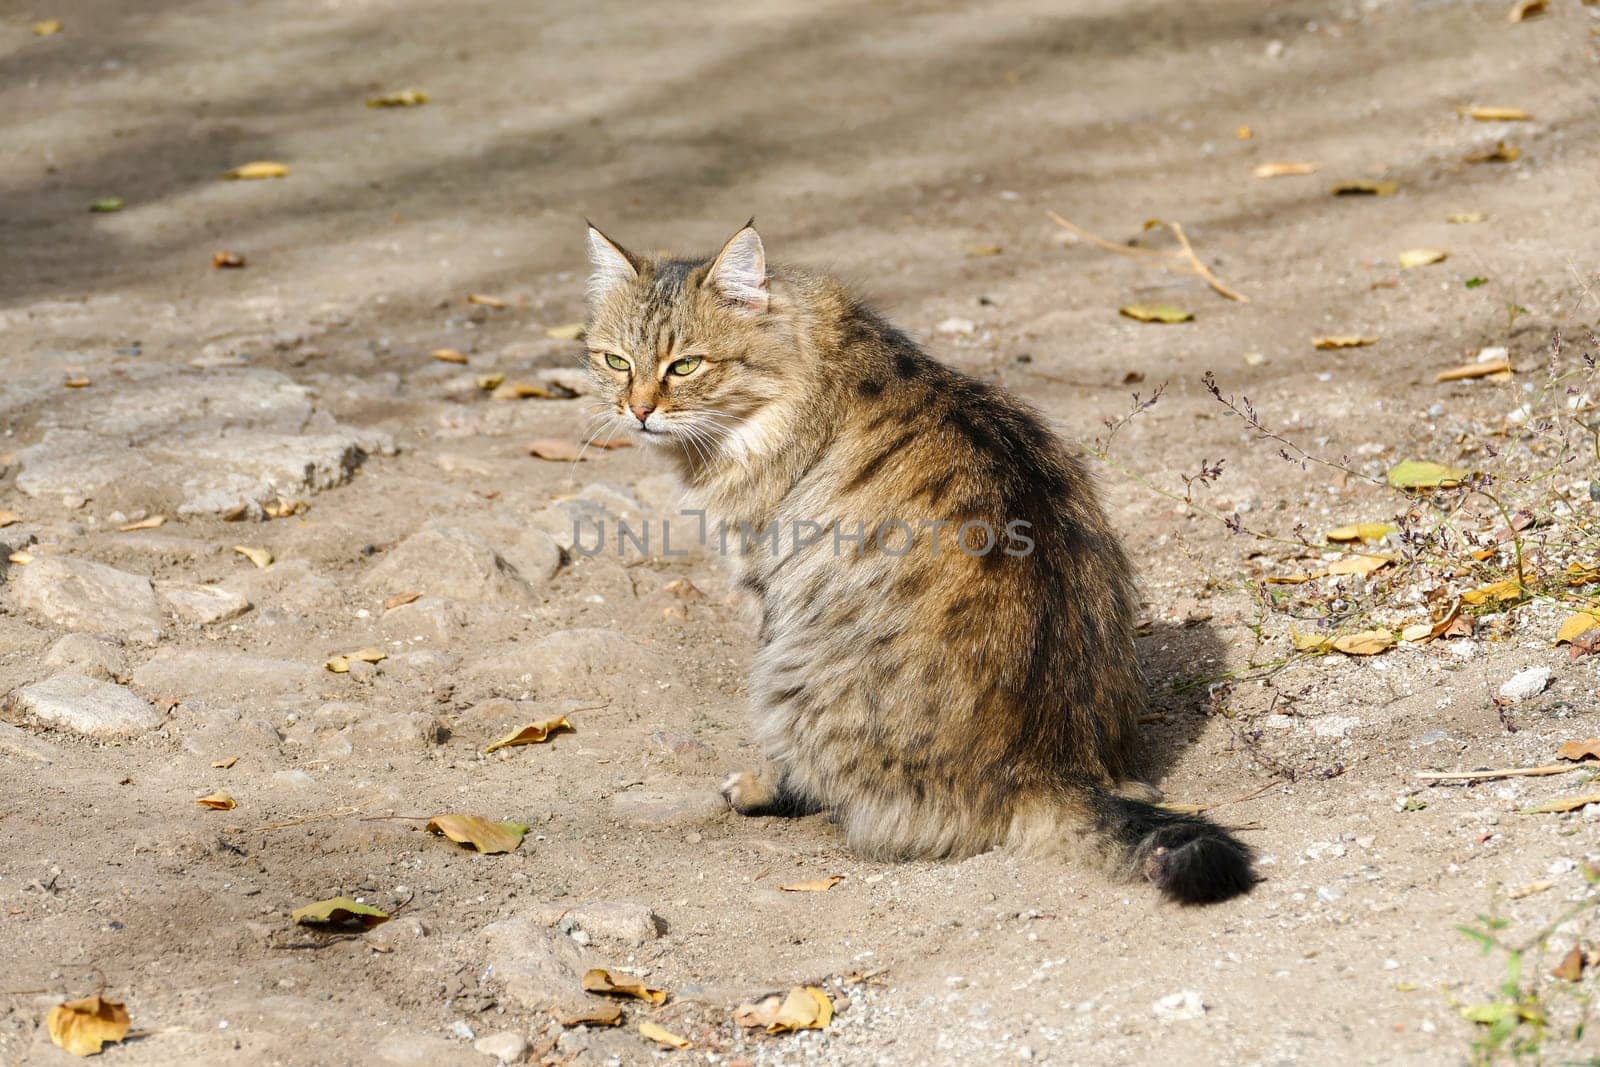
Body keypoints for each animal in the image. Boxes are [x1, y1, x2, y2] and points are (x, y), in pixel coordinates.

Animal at [582, 220, 1254, 908]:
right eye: (616, 361)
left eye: (686, 365)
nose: (637, 410)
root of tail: (1049, 764)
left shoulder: (766, 587)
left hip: (788, 674)